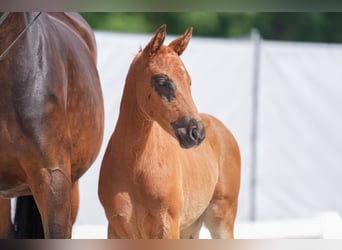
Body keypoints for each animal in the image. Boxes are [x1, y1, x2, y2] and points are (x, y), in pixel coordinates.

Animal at [99, 24, 240, 238]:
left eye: (189, 82)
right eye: (162, 81)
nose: (197, 132)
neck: (135, 165)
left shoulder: (167, 225)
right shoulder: (116, 228)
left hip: (221, 220)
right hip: (190, 228)